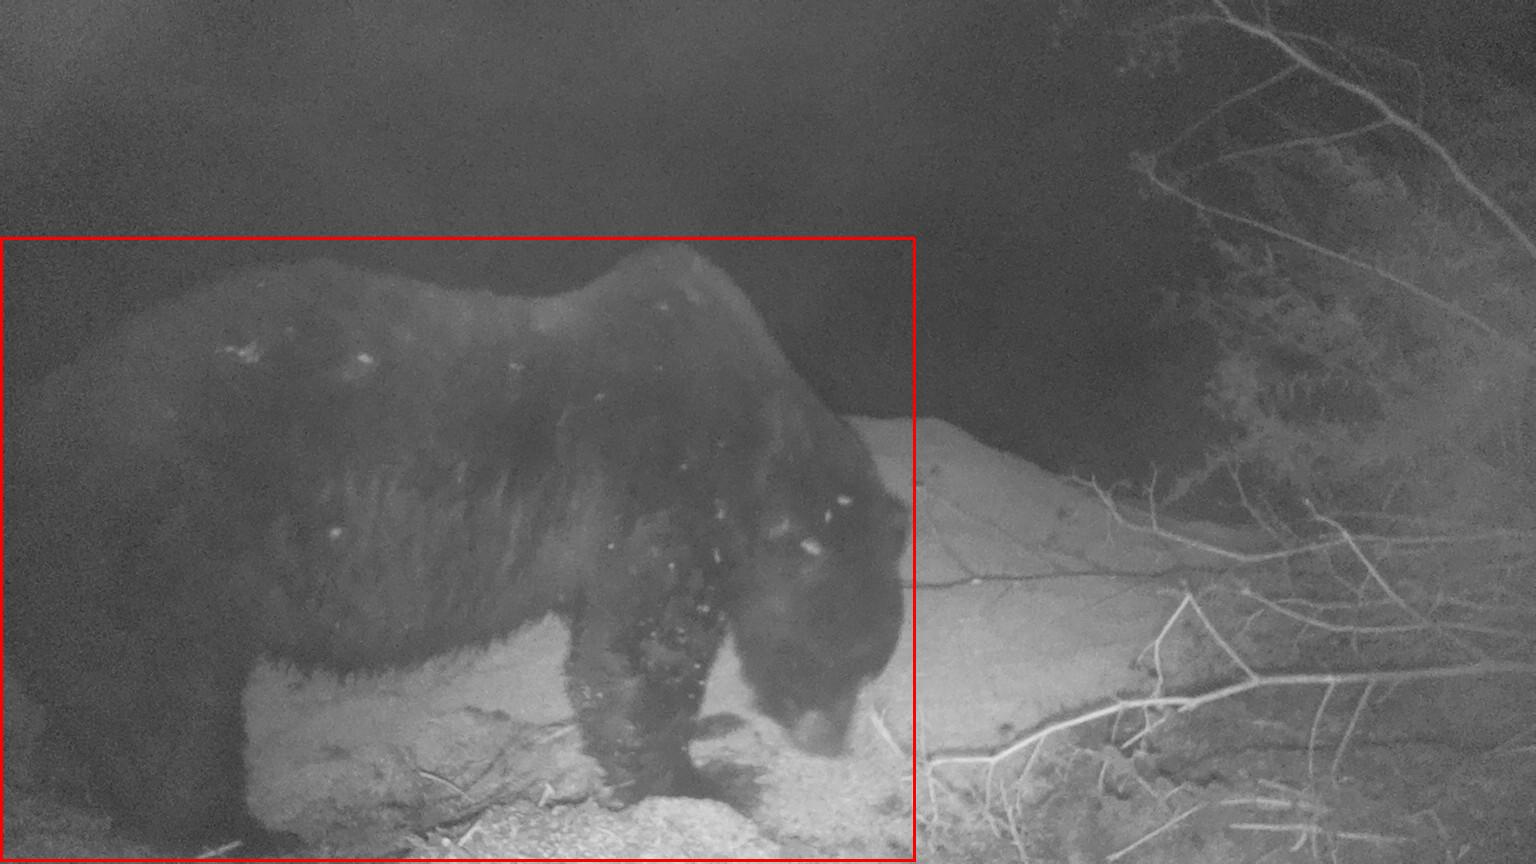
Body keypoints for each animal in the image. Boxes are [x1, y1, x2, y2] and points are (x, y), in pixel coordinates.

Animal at [2, 244, 907, 856]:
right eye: (844, 656)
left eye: (870, 663)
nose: (831, 742)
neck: (761, 450)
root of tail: (37, 420)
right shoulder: (662, 484)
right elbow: (641, 656)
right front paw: (708, 785)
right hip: (159, 533)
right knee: (166, 699)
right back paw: (235, 828)